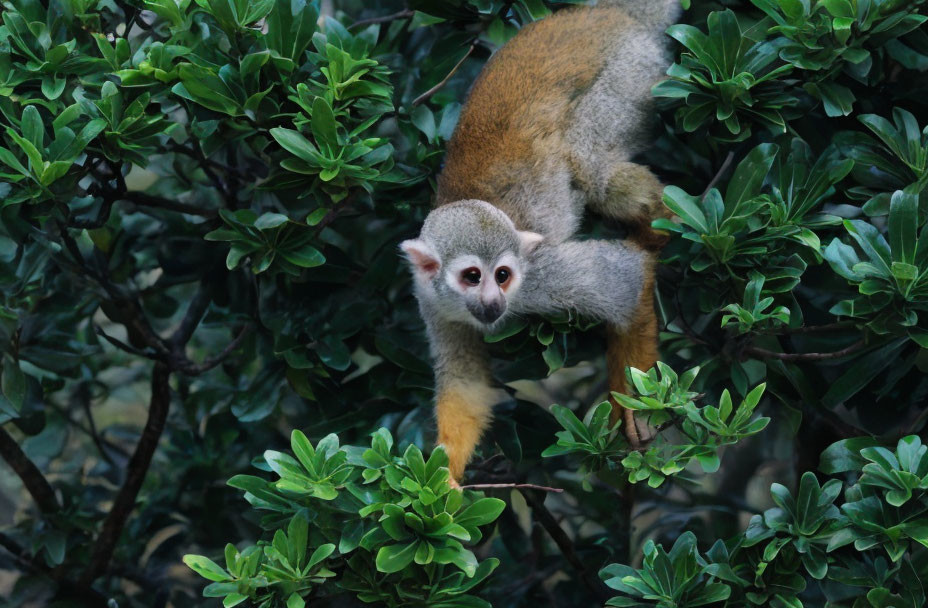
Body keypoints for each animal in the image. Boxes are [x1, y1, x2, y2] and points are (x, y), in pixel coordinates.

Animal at [402, 1, 676, 484]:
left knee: (590, 163)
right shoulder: (430, 300)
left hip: (632, 72)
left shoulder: (539, 278)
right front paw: (442, 479)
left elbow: (627, 283)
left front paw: (635, 406)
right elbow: (466, 385)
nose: (493, 304)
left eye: (504, 276)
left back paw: (658, 231)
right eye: (471, 277)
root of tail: (602, 14)